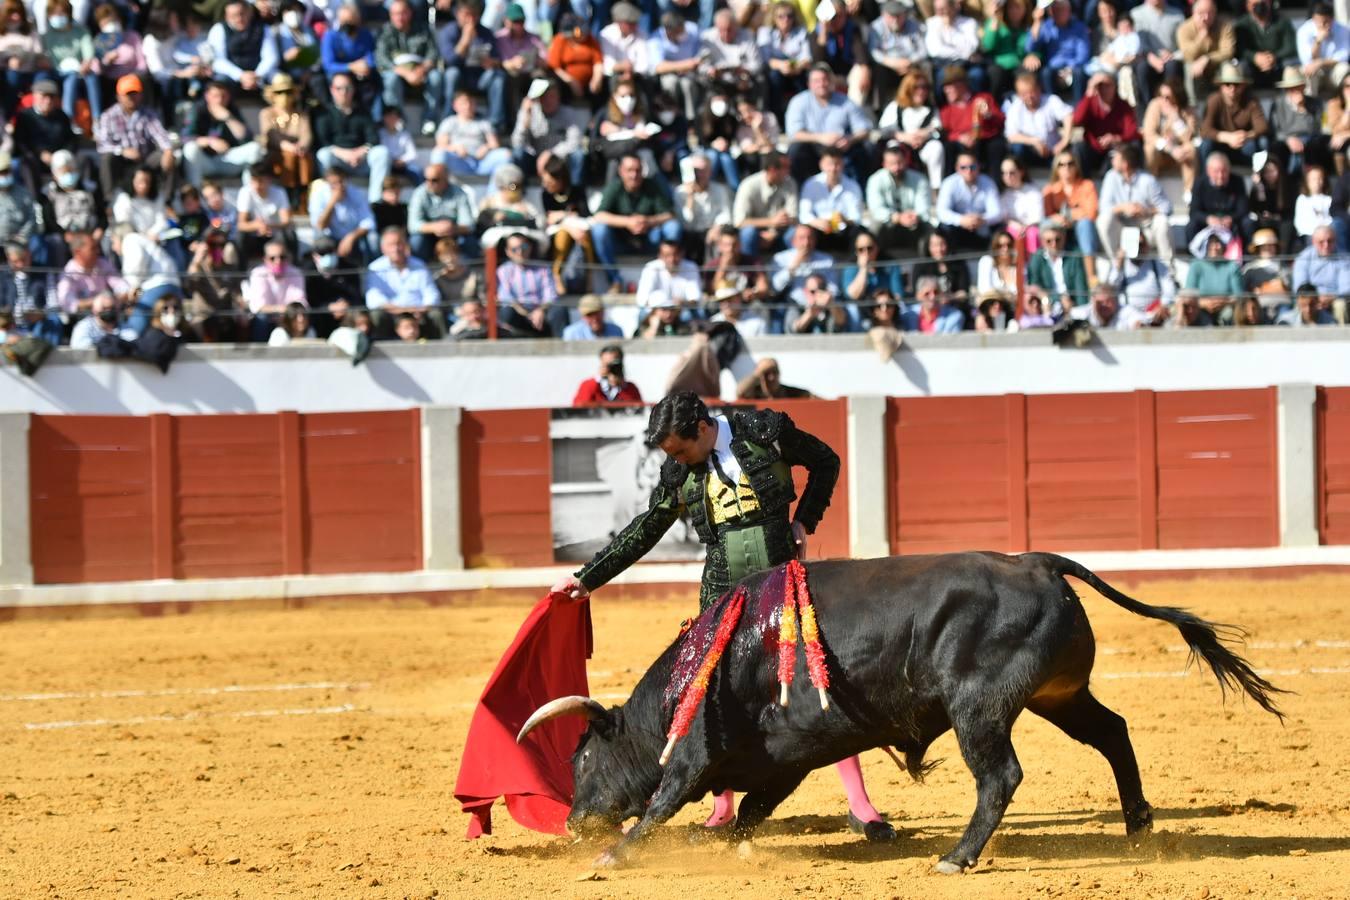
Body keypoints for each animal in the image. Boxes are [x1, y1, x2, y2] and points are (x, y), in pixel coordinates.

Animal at [515, 553, 1285, 868]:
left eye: (583, 758)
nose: (572, 824)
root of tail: (1038, 562)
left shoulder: (697, 753)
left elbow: (662, 802)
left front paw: (614, 856)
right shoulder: (783, 759)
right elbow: (755, 807)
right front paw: (728, 843)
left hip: (981, 707)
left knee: (1000, 776)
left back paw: (958, 858)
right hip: (1057, 695)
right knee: (1114, 733)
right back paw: (1138, 829)